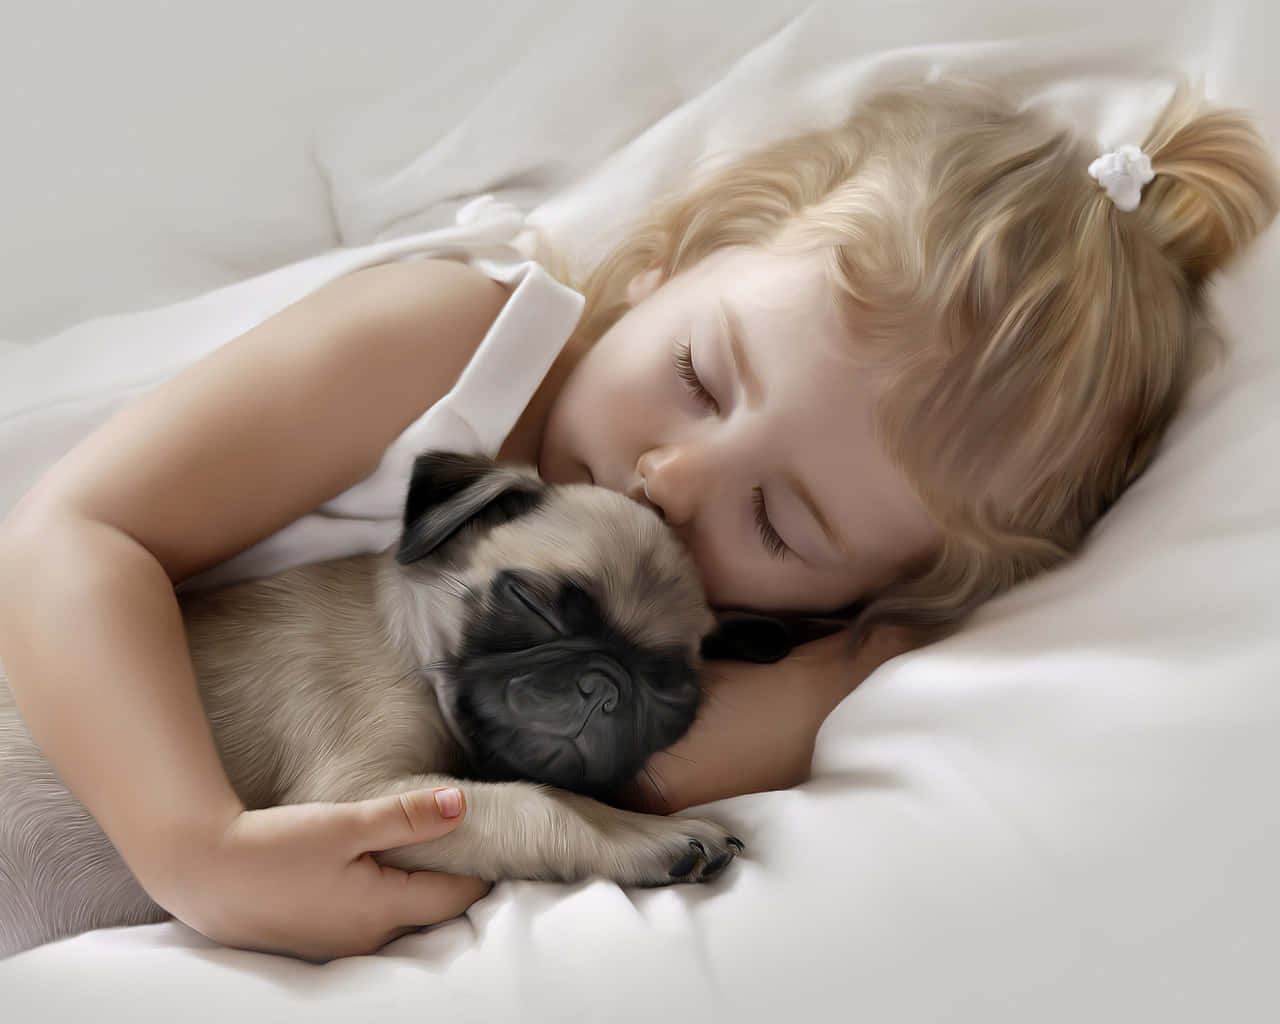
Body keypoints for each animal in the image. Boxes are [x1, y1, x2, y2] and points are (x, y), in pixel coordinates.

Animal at [0, 453, 747, 957]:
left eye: (673, 695)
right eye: (530, 602)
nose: (605, 683)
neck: (408, 641)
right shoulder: (347, 797)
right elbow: (540, 803)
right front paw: (640, 834)